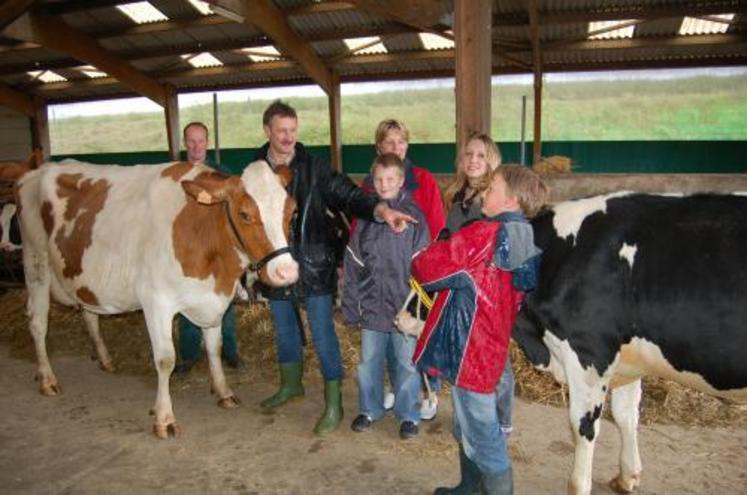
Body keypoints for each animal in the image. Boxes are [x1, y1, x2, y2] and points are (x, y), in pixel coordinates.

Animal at [17, 160, 298, 438]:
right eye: (244, 214)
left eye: (292, 211)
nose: (287, 271)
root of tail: (36, 171)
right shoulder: (156, 301)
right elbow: (165, 359)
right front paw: (164, 418)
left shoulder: (211, 299)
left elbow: (214, 348)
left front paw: (223, 392)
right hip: (36, 263)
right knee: (37, 323)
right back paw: (47, 379)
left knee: (89, 315)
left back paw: (105, 359)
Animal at [516, 192, 747, 495]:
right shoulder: (628, 358)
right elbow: (626, 414)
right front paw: (628, 475)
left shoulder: (590, 352)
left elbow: (583, 427)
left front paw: (579, 484)